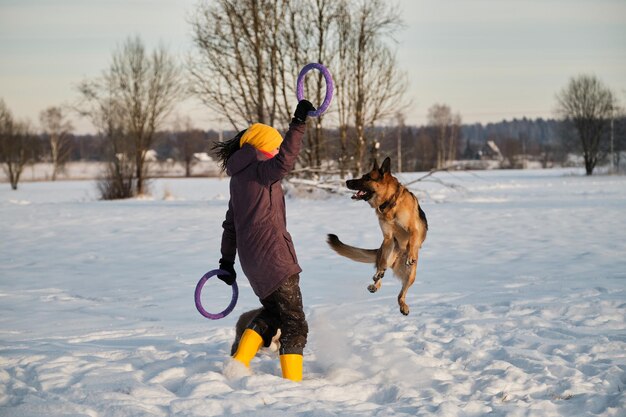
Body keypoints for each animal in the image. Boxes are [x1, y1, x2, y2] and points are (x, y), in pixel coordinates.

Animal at [326, 158, 424, 314]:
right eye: (362, 176)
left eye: (367, 178)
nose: (347, 181)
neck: (390, 203)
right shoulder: (388, 238)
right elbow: (382, 262)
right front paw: (378, 275)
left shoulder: (414, 229)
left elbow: (412, 241)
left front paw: (410, 254)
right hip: (388, 251)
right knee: (381, 271)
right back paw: (376, 282)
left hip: (411, 275)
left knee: (401, 294)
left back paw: (403, 305)